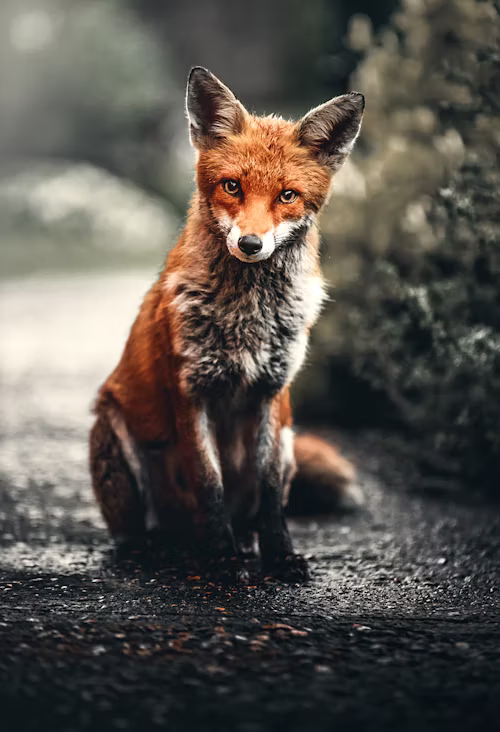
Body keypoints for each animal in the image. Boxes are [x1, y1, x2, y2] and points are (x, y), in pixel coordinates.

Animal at [89, 67, 364, 582]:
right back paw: (155, 549)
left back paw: (245, 543)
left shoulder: (272, 394)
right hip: (114, 434)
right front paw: (222, 559)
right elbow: (209, 483)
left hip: (290, 439)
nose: (251, 244)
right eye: (232, 186)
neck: (247, 317)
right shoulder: (191, 391)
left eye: (287, 195)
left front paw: (280, 555)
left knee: (251, 512)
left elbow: (271, 493)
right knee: (137, 531)